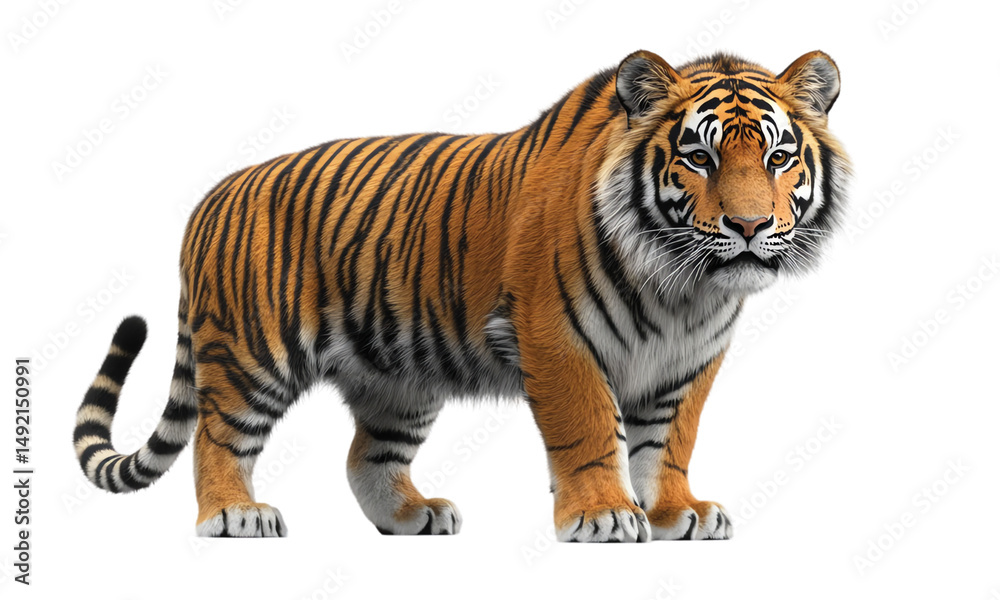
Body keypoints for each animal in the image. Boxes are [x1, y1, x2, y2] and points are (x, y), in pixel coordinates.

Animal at [72, 49, 849, 541]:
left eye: (779, 157)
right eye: (699, 157)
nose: (749, 226)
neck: (684, 288)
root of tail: (210, 196)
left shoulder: (688, 364)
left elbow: (667, 445)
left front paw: (672, 512)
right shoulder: (557, 338)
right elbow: (590, 432)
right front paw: (602, 515)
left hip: (399, 377)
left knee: (366, 457)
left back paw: (412, 517)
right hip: (250, 354)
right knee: (217, 438)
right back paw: (235, 516)